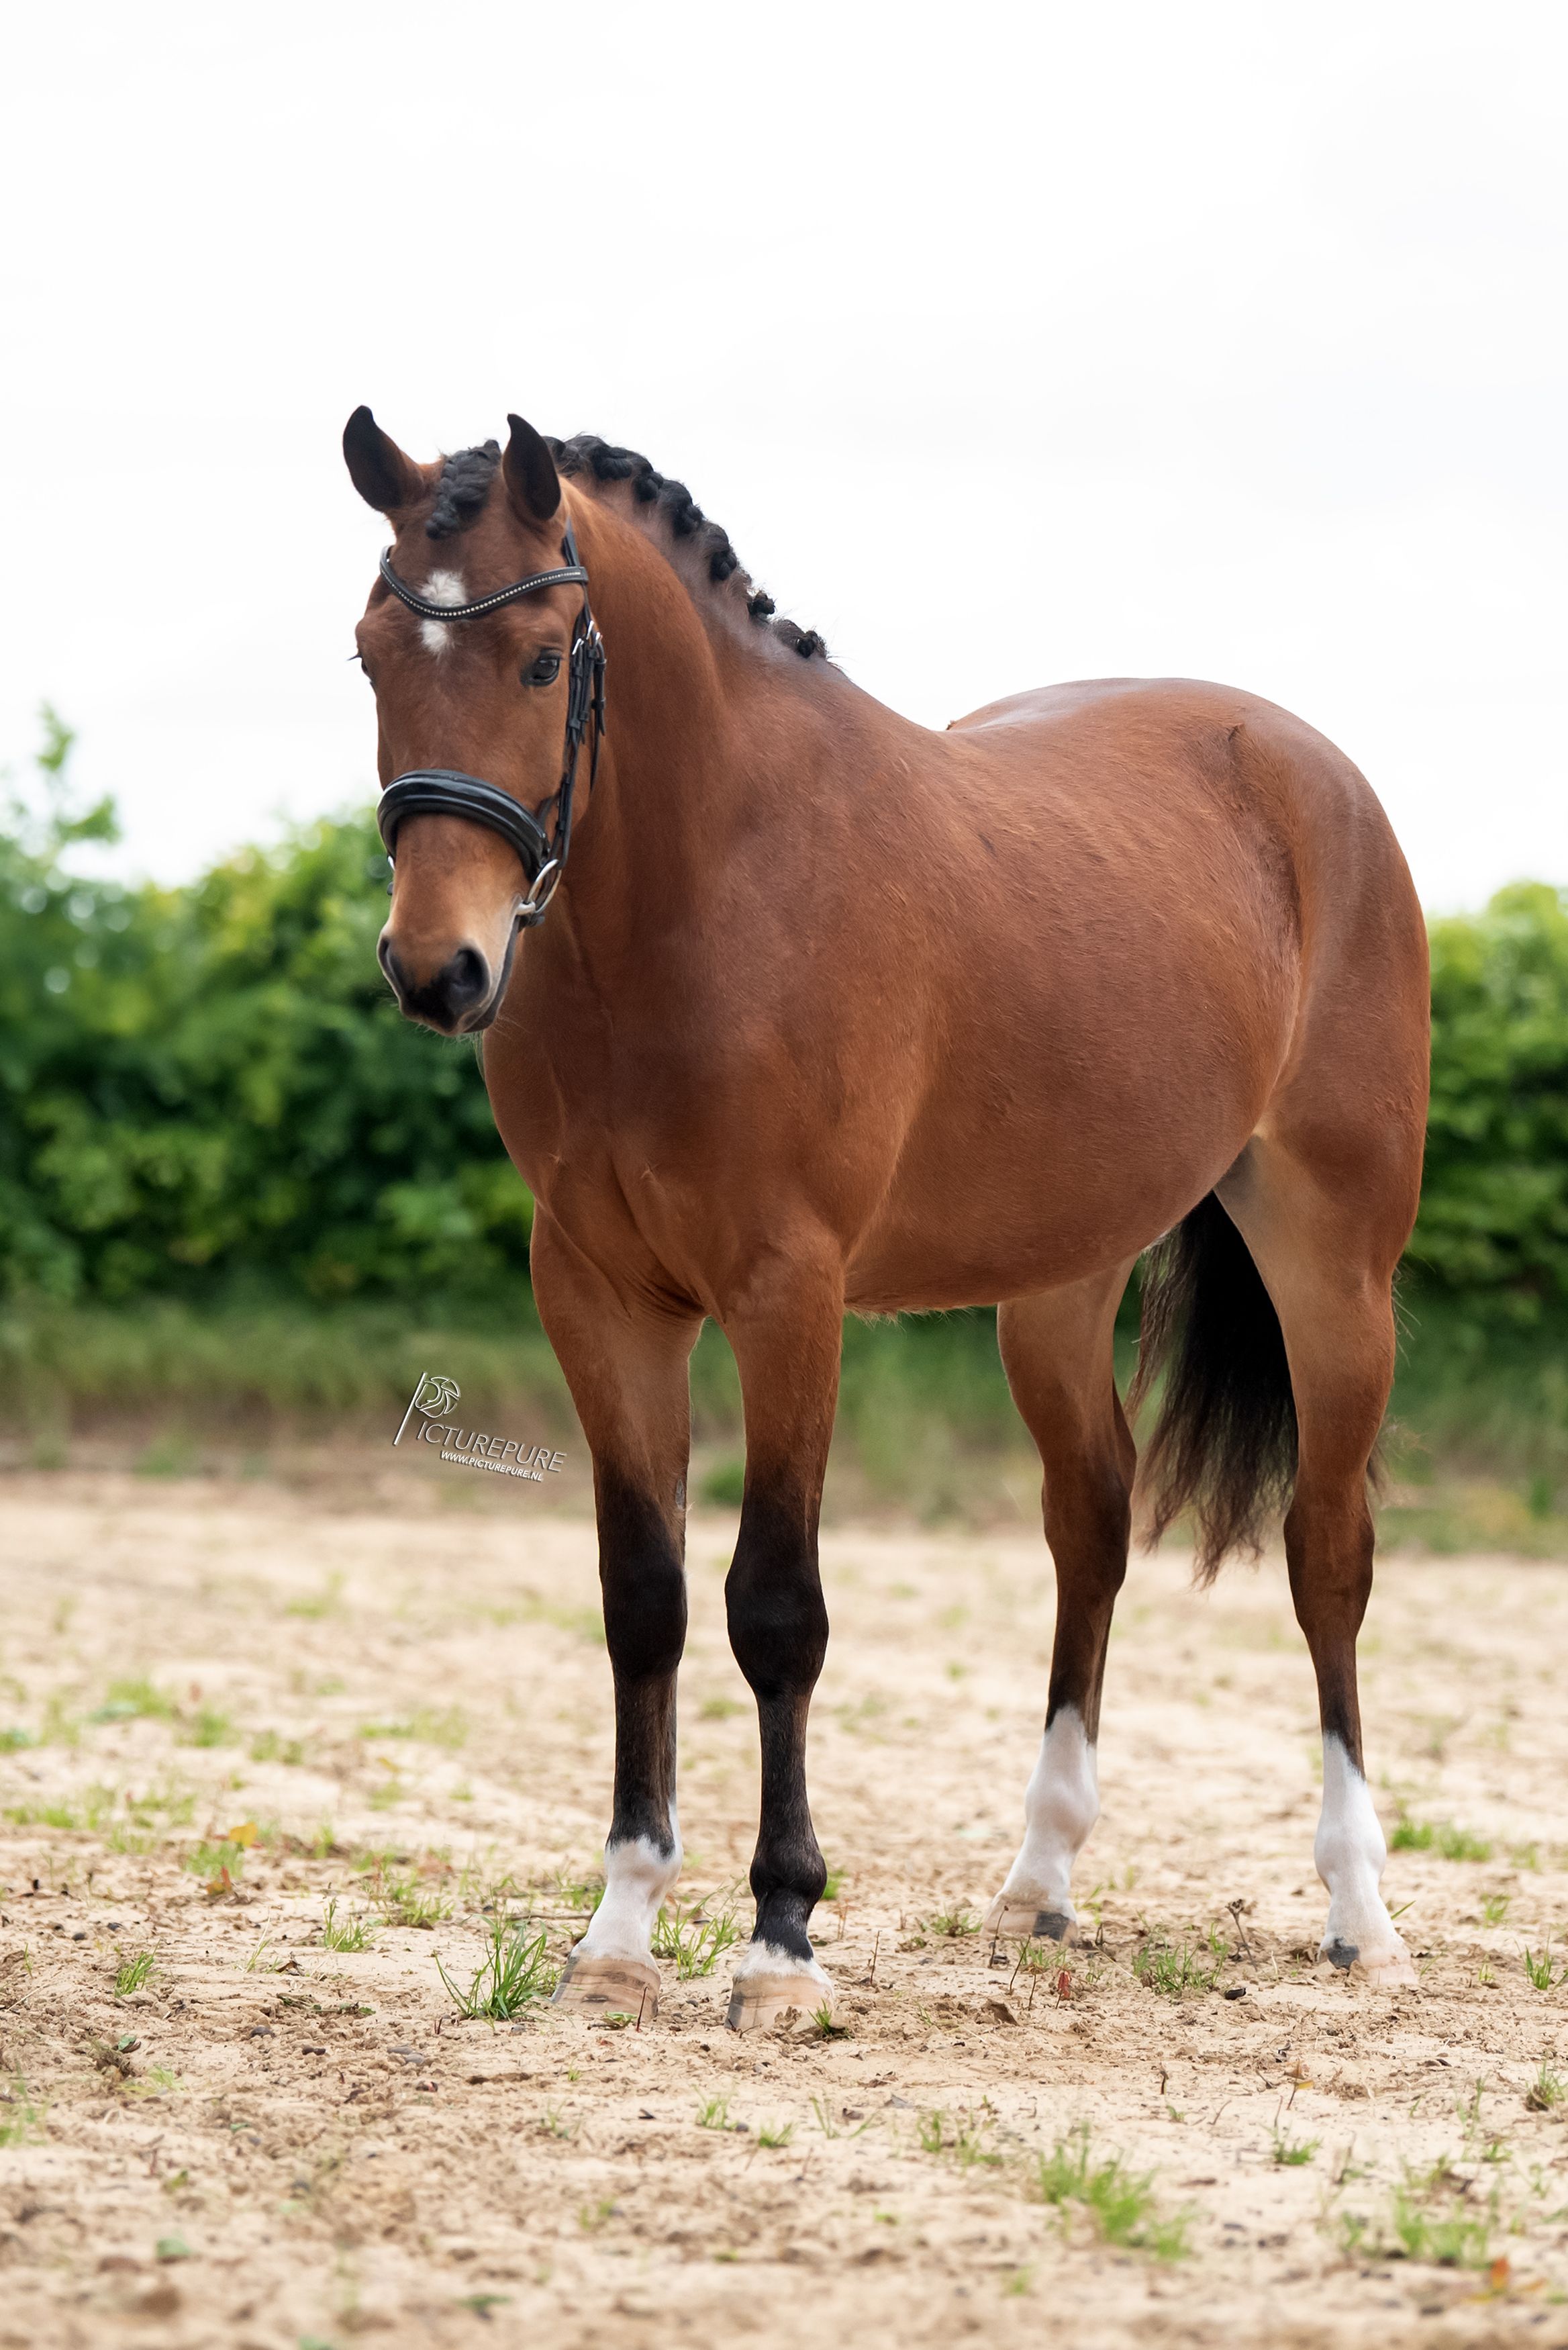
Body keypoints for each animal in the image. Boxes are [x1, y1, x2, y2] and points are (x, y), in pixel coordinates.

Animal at [344, 408, 1430, 2028]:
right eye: (369, 656)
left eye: (541, 660)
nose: (438, 971)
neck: (703, 893)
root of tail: (1311, 778)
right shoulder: (600, 1297)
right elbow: (644, 1598)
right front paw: (620, 1934)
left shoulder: (787, 1294)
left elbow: (774, 1607)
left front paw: (781, 1942)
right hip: (1056, 1285)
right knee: (1089, 1521)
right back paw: (1040, 1883)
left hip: (1335, 1266)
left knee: (1326, 1553)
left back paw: (1358, 1909)